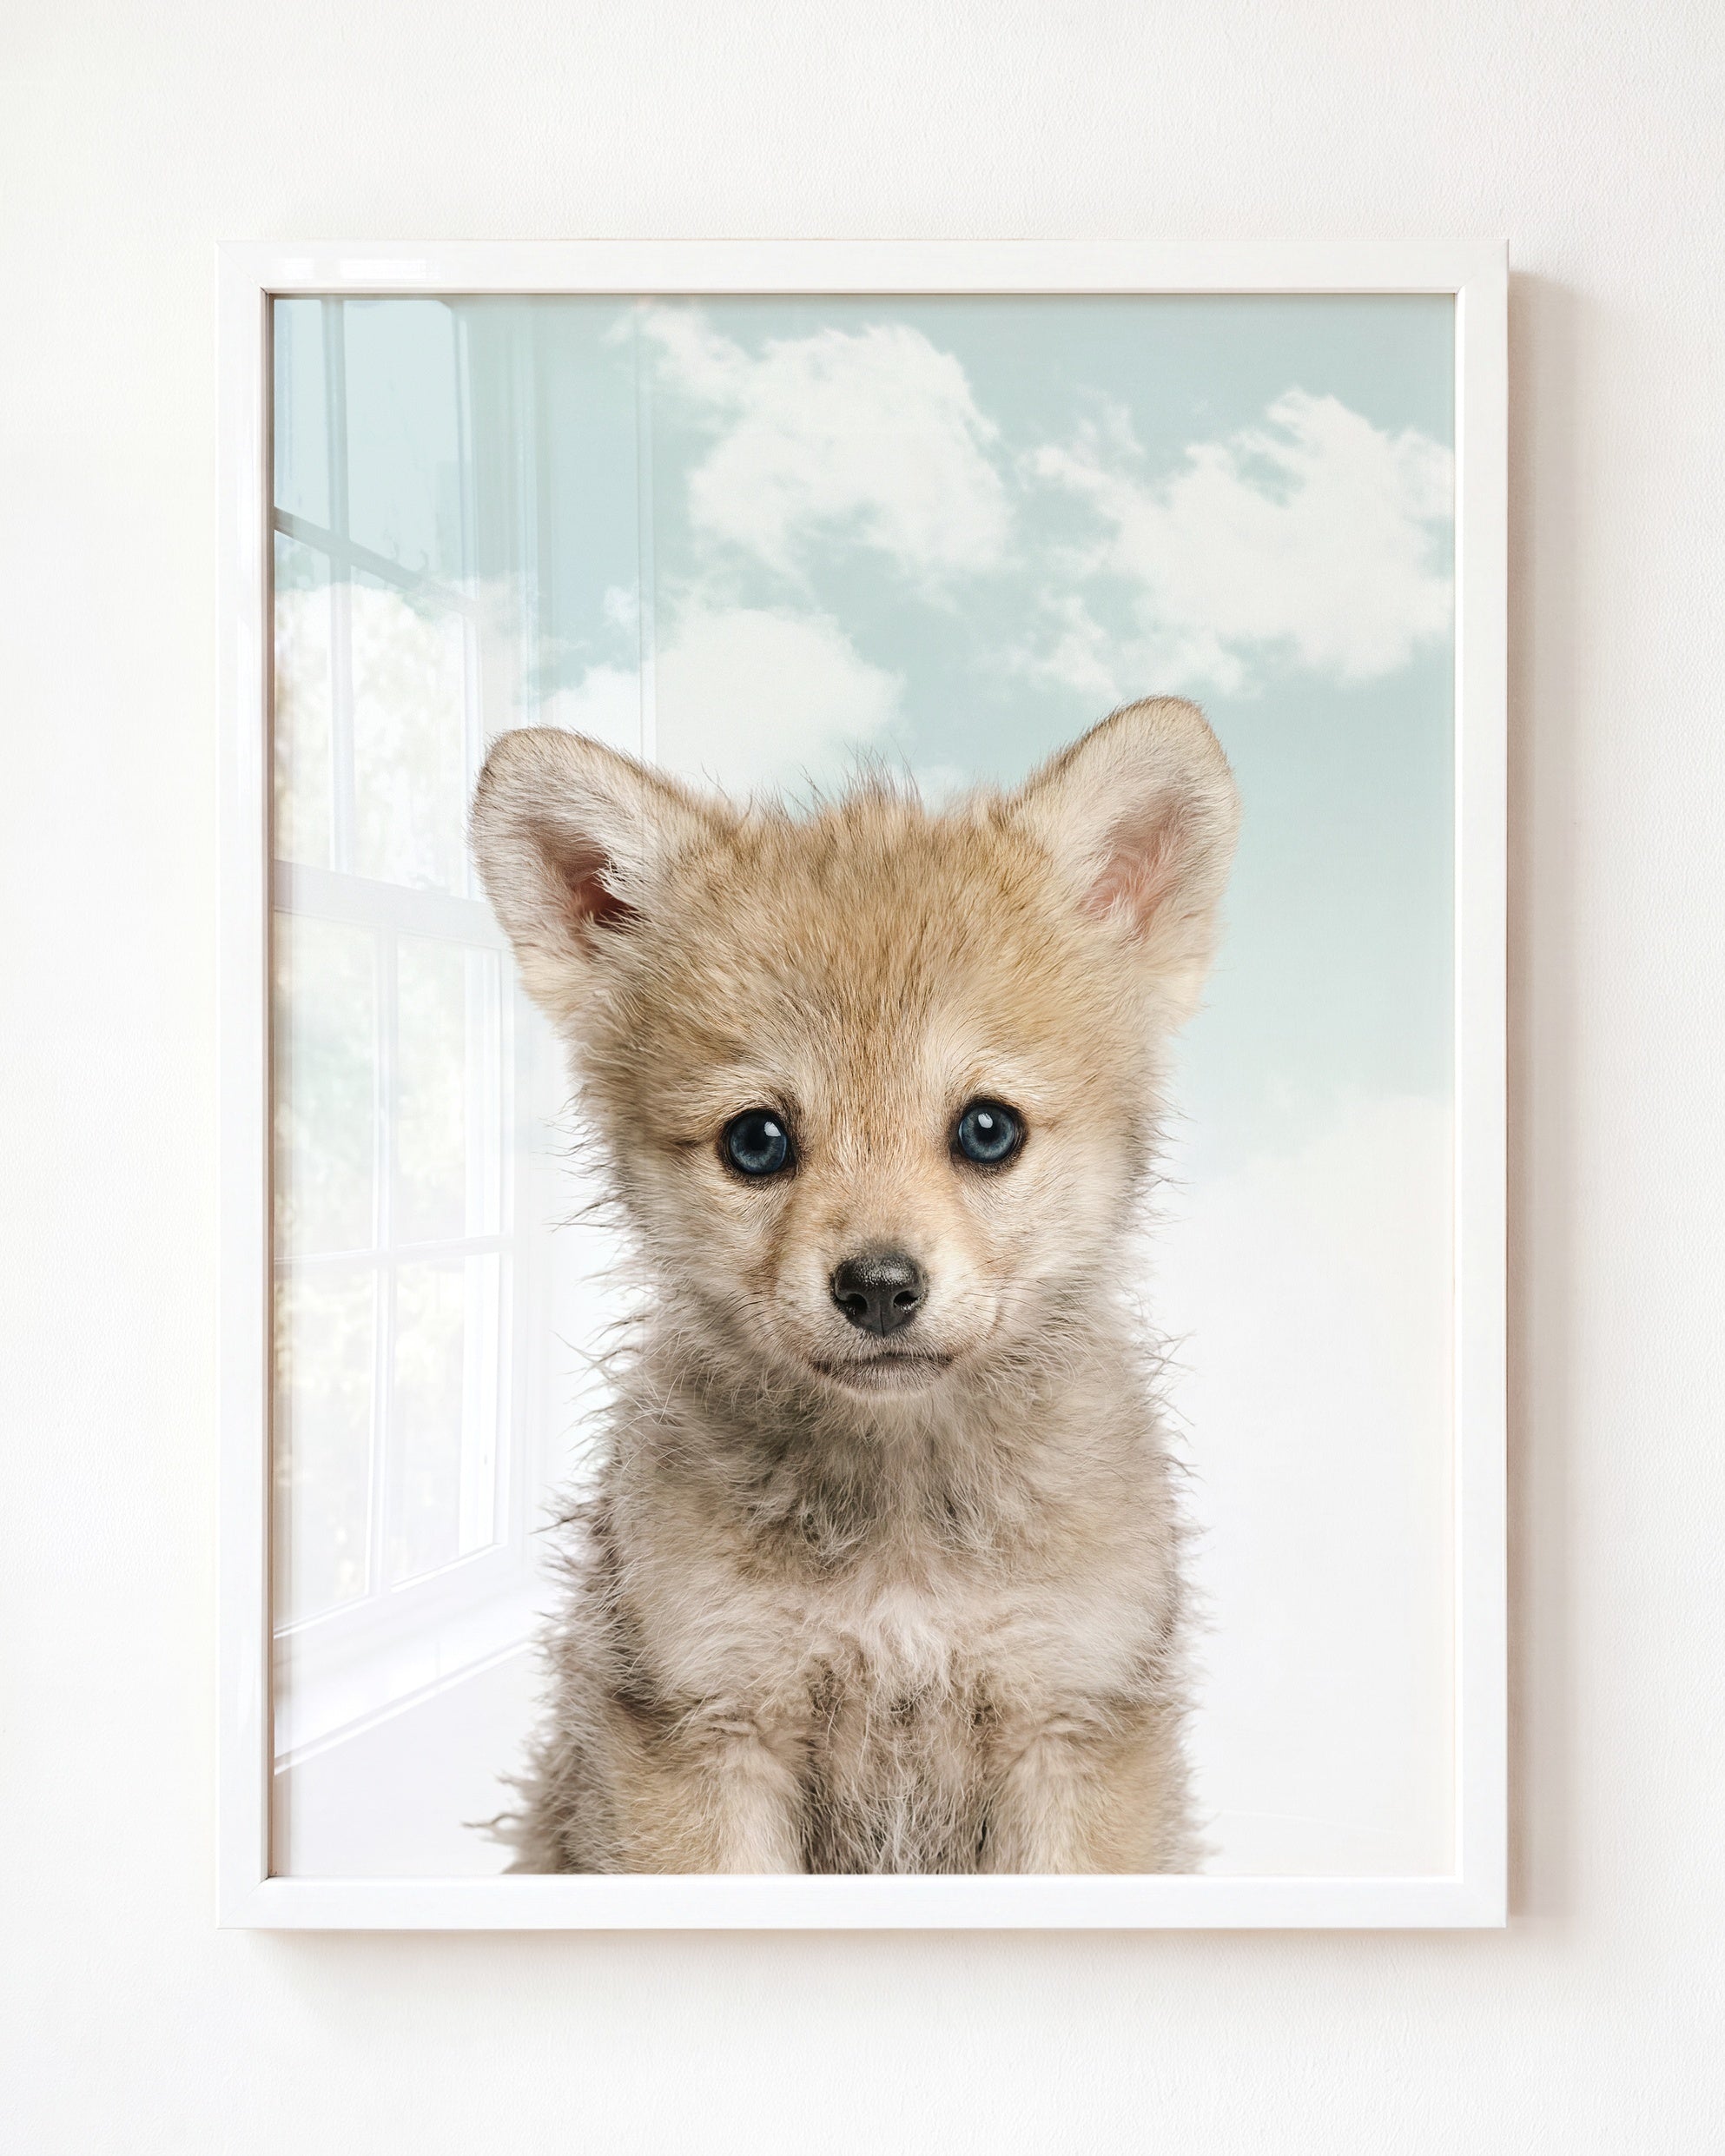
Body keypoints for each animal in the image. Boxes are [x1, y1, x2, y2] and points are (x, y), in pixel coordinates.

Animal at [470, 697, 1239, 1873]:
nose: (878, 1287)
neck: (901, 1535)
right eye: (756, 1141)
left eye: (988, 1129)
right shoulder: (707, 1726)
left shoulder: (1071, 1720)